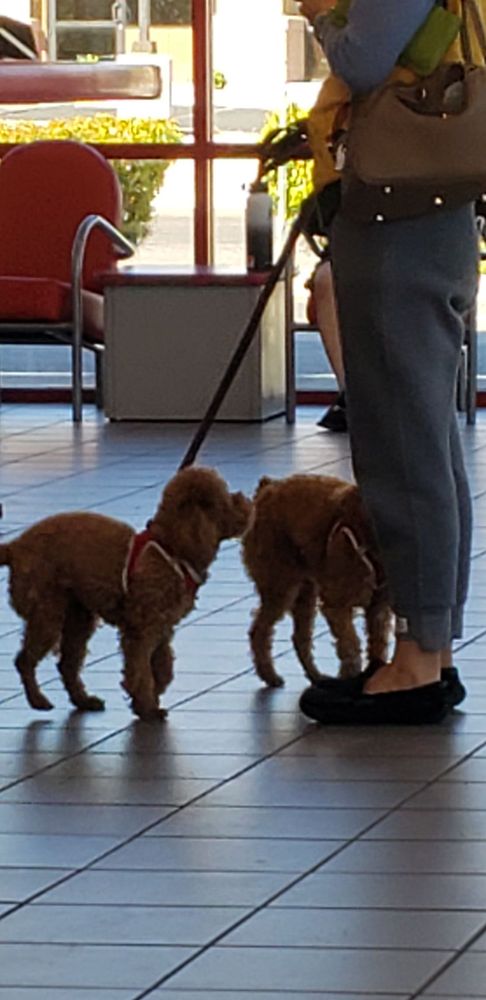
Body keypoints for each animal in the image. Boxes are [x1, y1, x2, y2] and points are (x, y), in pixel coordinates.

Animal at [0, 466, 251, 721]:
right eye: (227, 499)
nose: (246, 501)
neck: (171, 547)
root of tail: (14, 547)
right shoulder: (142, 630)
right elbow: (140, 670)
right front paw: (147, 706)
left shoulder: (162, 628)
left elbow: (163, 666)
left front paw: (151, 695)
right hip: (46, 611)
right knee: (24, 660)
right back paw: (37, 699)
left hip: (78, 615)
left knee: (67, 664)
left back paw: (83, 700)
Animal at [242, 474, 392, 687]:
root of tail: (267, 488)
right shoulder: (336, 605)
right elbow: (351, 645)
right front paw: (350, 675)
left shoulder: (378, 607)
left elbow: (377, 645)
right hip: (281, 586)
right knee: (260, 631)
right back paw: (269, 675)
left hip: (306, 592)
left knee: (299, 637)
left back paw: (316, 677)